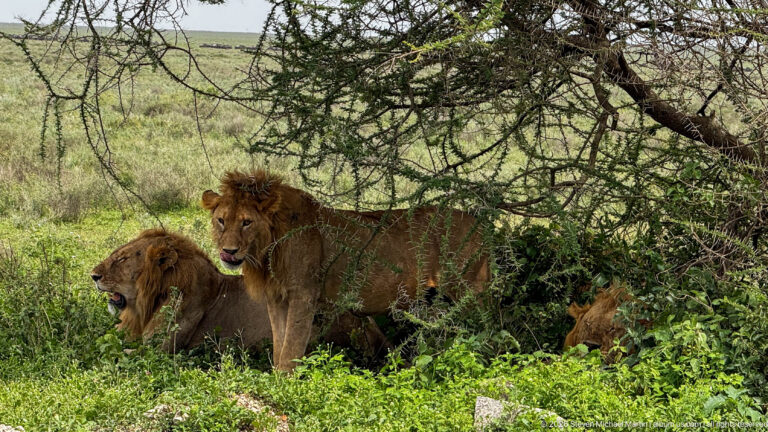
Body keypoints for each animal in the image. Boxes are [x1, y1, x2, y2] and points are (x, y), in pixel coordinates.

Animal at [201, 170, 490, 371]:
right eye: (221, 220)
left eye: (247, 222)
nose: (228, 252)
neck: (267, 251)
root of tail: (483, 226)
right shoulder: (277, 298)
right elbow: (279, 342)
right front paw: (276, 377)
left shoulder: (304, 295)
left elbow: (292, 345)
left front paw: (285, 384)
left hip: (471, 294)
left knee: (488, 332)